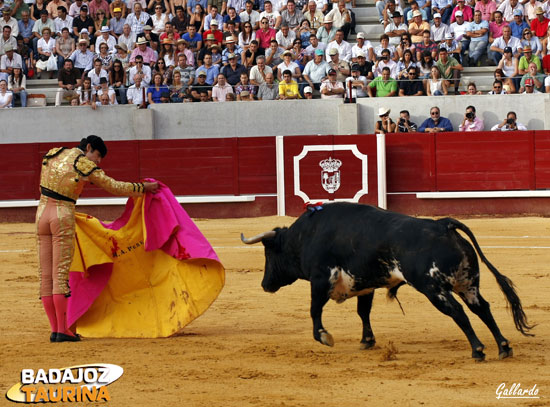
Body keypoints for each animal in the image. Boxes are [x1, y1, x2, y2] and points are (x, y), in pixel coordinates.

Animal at [242, 203, 536, 360]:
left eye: (268, 253)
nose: (265, 284)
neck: (305, 236)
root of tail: (443, 224)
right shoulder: (365, 284)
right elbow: (363, 312)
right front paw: (367, 341)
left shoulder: (320, 279)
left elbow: (314, 310)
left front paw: (324, 337)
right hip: (468, 284)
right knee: (482, 308)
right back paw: (503, 347)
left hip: (433, 288)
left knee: (458, 312)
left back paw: (477, 350)